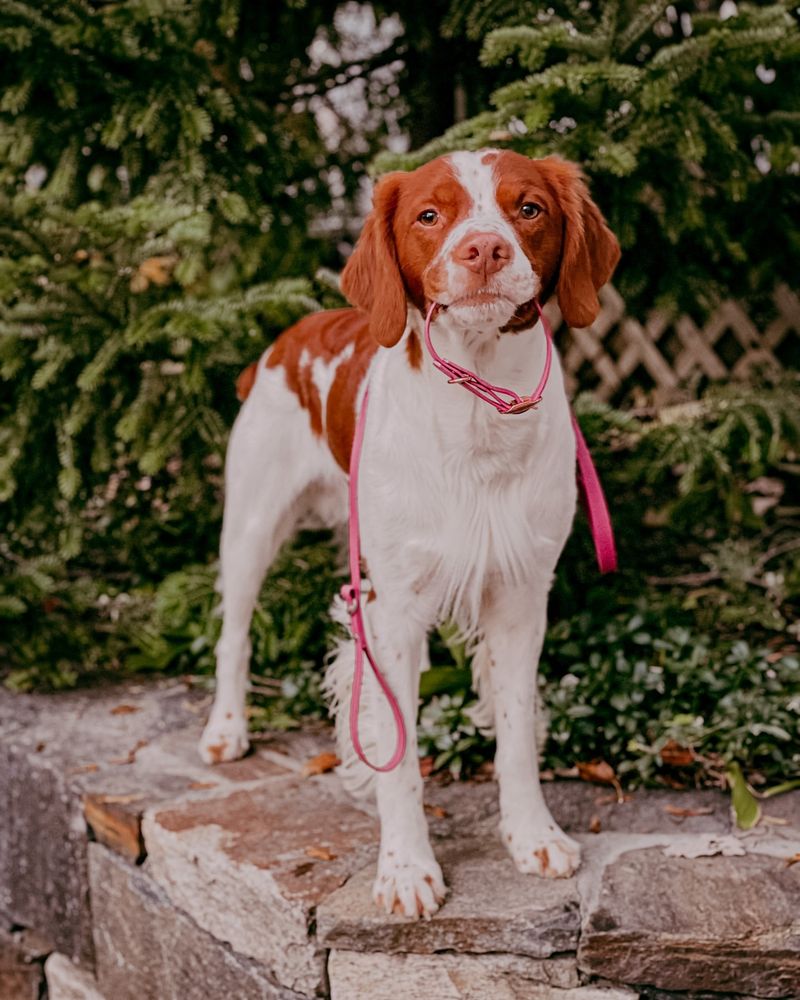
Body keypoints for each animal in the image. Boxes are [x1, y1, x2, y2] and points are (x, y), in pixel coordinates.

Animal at [198, 146, 620, 916]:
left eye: (528, 208)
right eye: (429, 215)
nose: (483, 250)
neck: (479, 407)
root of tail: (287, 337)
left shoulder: (521, 598)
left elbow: (516, 734)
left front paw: (532, 835)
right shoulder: (392, 608)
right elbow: (402, 760)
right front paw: (406, 868)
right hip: (250, 526)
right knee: (233, 634)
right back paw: (226, 730)